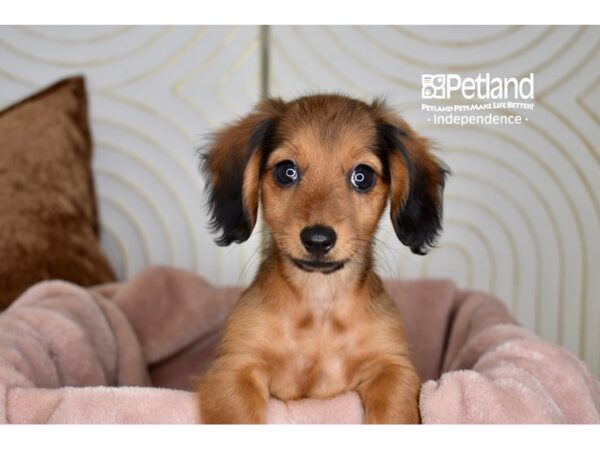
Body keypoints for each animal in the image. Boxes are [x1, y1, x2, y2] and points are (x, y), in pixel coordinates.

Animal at [199, 93, 448, 424]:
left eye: (362, 176)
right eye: (286, 171)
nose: (318, 240)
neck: (320, 305)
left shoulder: (393, 366)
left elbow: (393, 411)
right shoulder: (234, 367)